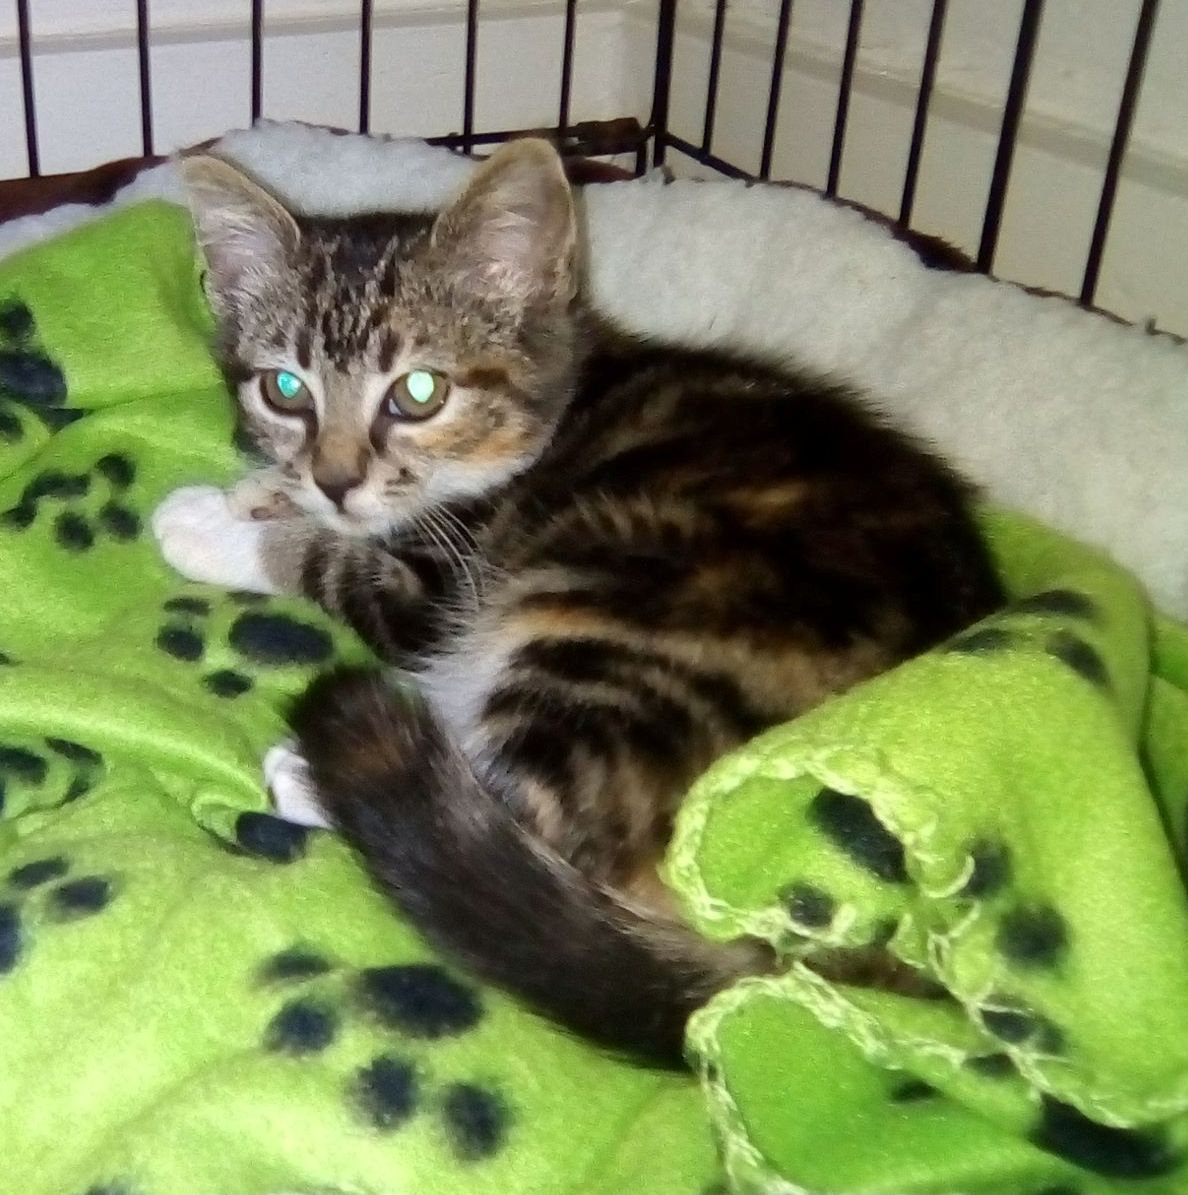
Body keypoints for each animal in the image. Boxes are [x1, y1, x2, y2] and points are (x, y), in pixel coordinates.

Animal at [153, 138, 1003, 1067]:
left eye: (419, 392)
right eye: (284, 389)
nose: (337, 479)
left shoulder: (443, 586)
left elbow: (339, 567)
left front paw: (211, 525)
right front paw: (262, 490)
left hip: (611, 602)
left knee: (538, 820)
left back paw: (312, 774)